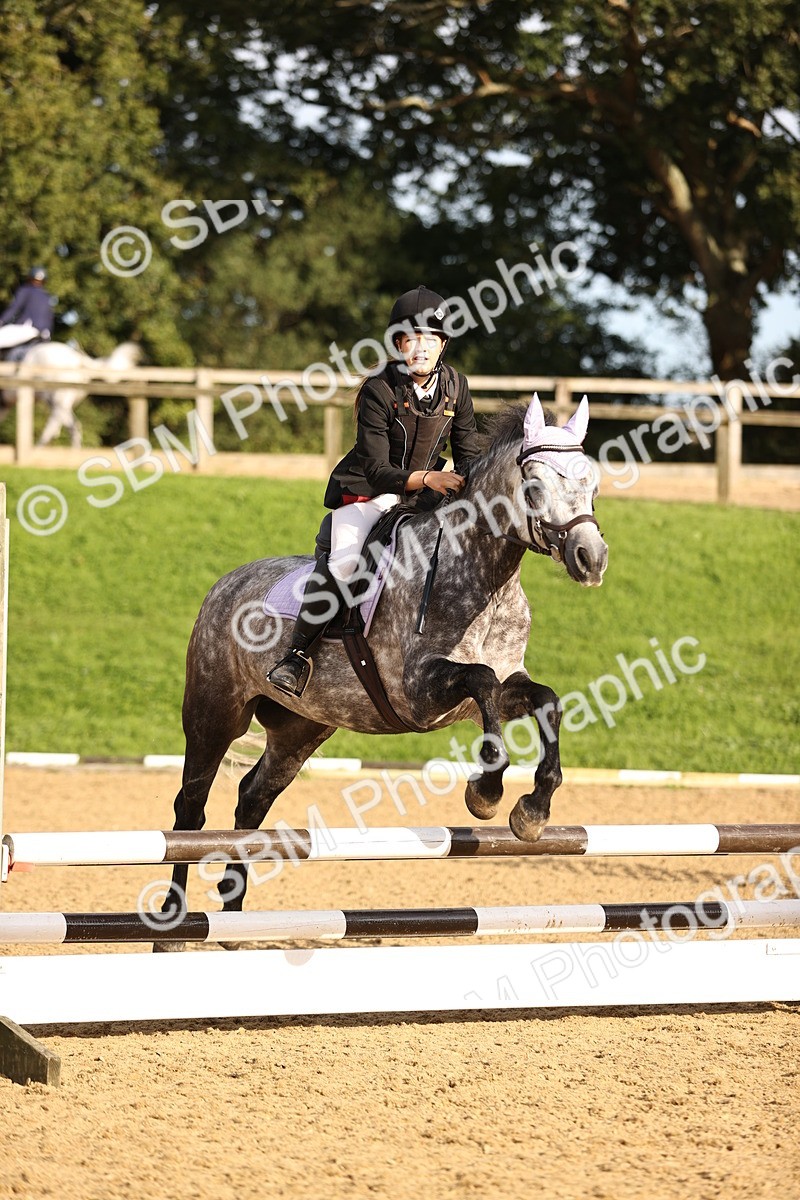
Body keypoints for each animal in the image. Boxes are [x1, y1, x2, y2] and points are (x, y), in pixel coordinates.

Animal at [0, 339, 141, 447]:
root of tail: (78, 359)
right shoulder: (5, 406)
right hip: (61, 401)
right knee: (73, 426)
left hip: (55, 399)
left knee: (56, 424)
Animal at [157, 393, 608, 942]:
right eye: (537, 487)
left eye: (592, 485)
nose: (592, 558)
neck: (486, 578)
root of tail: (226, 583)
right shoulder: (417, 692)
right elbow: (479, 680)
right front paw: (486, 792)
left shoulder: (501, 687)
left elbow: (545, 700)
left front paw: (533, 810)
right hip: (214, 712)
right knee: (190, 808)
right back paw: (175, 921)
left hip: (301, 728)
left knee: (252, 797)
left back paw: (234, 915)